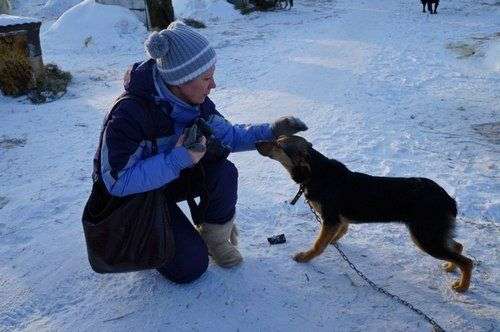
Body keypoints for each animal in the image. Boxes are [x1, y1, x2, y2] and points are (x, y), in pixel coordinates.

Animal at [258, 136, 472, 292]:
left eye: (278, 144)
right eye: (277, 139)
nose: (256, 143)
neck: (315, 173)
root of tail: (448, 199)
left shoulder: (330, 219)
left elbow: (319, 245)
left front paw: (305, 257)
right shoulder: (339, 221)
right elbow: (337, 234)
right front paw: (332, 242)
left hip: (425, 237)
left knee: (467, 261)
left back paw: (462, 287)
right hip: (433, 234)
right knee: (458, 247)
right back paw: (450, 267)